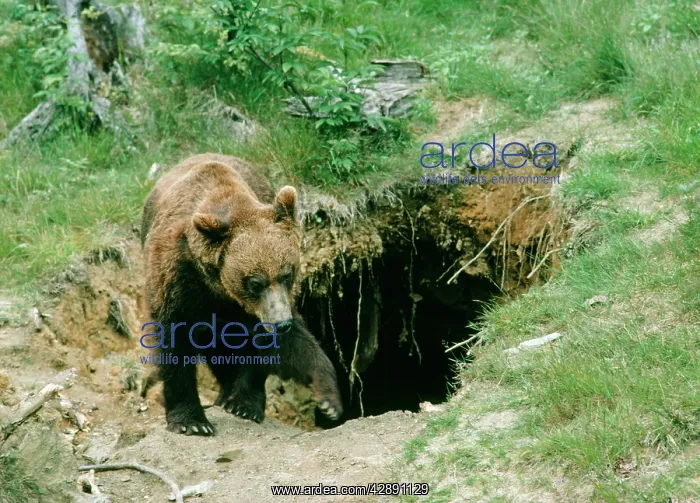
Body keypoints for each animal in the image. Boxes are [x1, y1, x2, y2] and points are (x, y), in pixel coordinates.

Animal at [140, 153, 343, 435]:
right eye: (255, 282)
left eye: (287, 273)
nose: (282, 323)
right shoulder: (177, 276)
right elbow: (175, 342)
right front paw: (192, 421)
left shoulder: (265, 306)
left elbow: (279, 346)